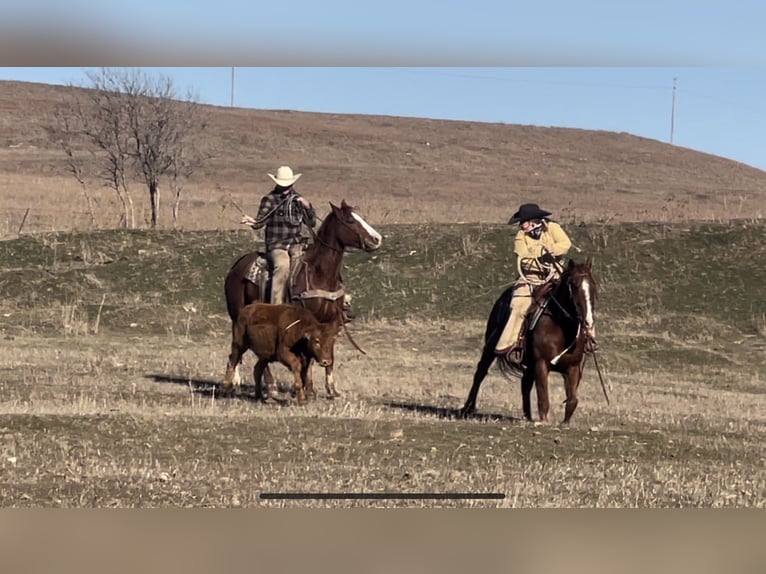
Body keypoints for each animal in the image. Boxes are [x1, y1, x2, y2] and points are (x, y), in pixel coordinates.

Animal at [225, 200, 388, 402]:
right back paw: (264, 386)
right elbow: (307, 357)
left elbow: (327, 352)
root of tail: (237, 266)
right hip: (237, 317)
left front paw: (331, 390)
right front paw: (305, 389)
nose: (376, 239)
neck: (320, 274)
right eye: (350, 220)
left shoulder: (332, 321)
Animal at [462, 258, 600, 426]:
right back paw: (467, 408)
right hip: (490, 347)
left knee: (525, 385)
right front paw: (544, 421)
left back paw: (527, 416)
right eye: (573, 285)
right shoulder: (541, 363)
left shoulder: (572, 366)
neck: (561, 327)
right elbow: (543, 397)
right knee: (480, 373)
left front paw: (565, 423)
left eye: (592, 285)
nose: (588, 322)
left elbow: (572, 400)